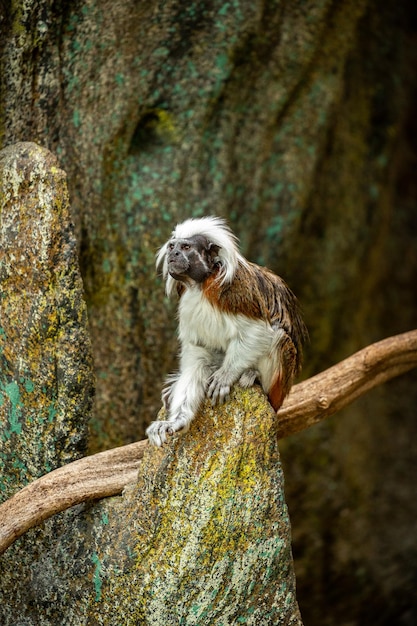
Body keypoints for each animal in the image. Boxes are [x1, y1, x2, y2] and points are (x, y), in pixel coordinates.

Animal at [145, 217, 306, 446]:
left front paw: (226, 375)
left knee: (280, 338)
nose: (173, 254)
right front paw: (177, 420)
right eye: (171, 247)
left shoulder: (234, 292)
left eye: (185, 247)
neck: (200, 284)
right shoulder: (187, 301)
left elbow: (259, 330)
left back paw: (253, 375)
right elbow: (198, 352)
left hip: (278, 388)